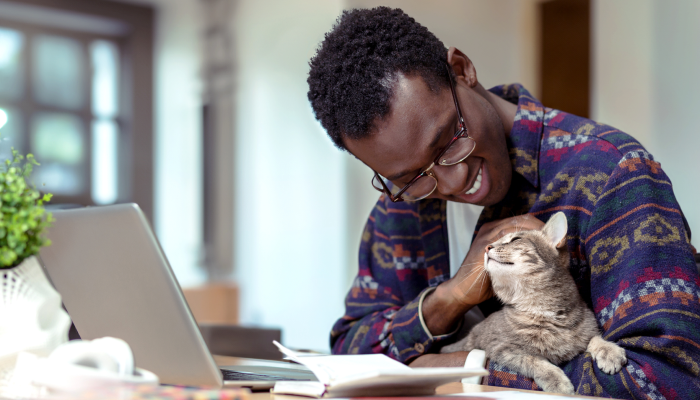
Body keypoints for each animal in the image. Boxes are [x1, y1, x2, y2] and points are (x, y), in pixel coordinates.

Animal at [440, 212, 628, 394]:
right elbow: (534, 360)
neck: (541, 309)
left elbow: (594, 337)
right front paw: (557, 382)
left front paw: (609, 351)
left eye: (515, 239)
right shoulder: (502, 348)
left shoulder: (585, 329)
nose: (487, 247)